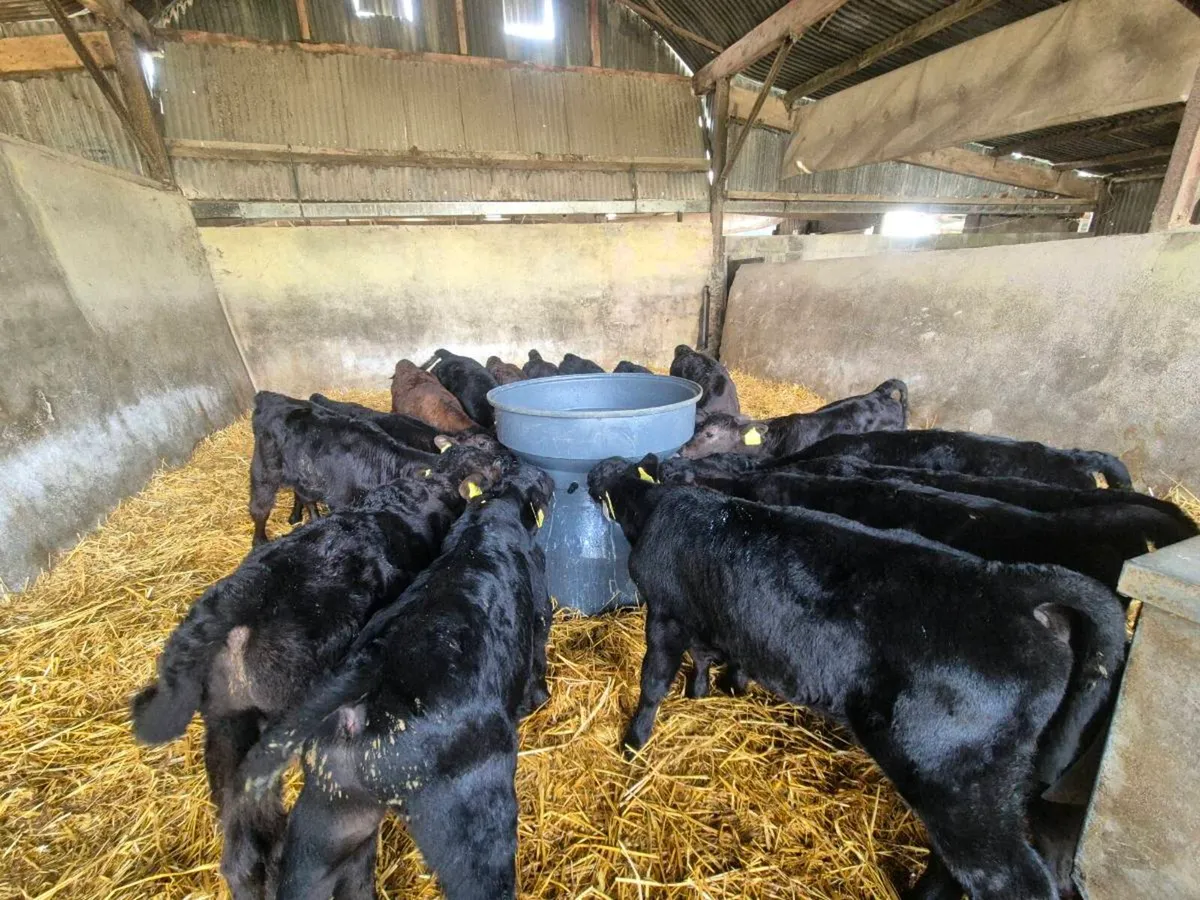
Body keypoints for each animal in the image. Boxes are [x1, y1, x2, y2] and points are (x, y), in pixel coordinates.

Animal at [131, 445, 509, 899]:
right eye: (490, 464)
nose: (508, 460)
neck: (431, 486)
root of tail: (239, 598)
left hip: (227, 728)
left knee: (243, 852)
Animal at [235, 462, 555, 900]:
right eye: (539, 480)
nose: (552, 481)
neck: (488, 520)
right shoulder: (539, 610)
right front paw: (540, 698)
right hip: (473, 819)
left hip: (328, 820)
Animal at [588, 454, 1125, 900]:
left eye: (605, 470)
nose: (588, 474)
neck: (660, 508)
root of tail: (1014, 584)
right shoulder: (709, 618)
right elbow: (706, 659)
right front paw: (704, 692)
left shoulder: (666, 612)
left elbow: (653, 683)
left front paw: (633, 744)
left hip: (953, 776)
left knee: (1004, 877)